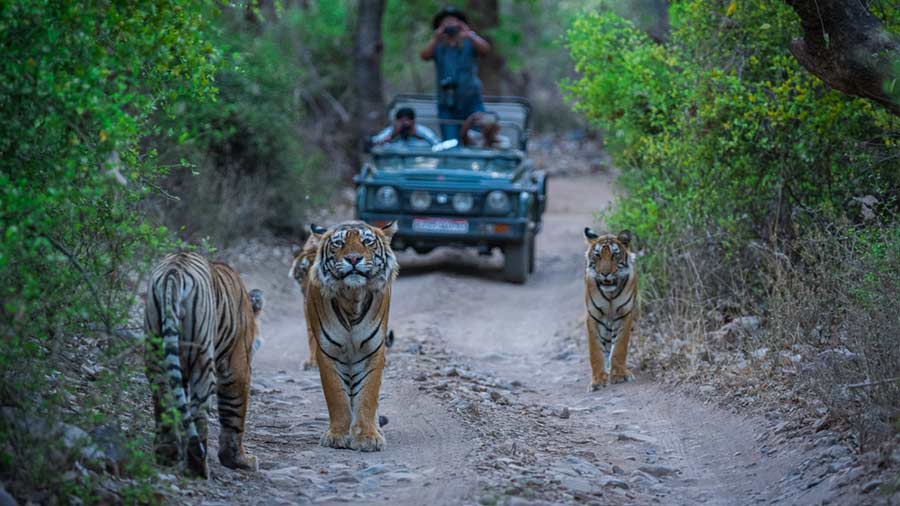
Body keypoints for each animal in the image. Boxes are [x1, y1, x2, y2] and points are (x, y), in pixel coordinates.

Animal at [144, 253, 262, 478]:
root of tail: (174, 272)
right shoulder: (238, 367)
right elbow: (234, 414)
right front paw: (239, 460)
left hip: (156, 353)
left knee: (164, 401)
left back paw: (167, 456)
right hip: (202, 359)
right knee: (198, 412)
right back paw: (198, 467)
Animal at [306, 220, 398, 450]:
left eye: (367, 241)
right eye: (339, 243)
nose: (354, 258)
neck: (352, 298)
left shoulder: (373, 351)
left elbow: (368, 395)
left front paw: (368, 437)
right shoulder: (327, 352)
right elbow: (336, 396)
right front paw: (337, 435)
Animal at [584, 229, 640, 392]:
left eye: (615, 255)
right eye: (597, 256)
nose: (605, 273)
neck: (610, 294)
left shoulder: (624, 315)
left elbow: (620, 346)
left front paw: (619, 375)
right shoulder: (593, 316)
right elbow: (595, 351)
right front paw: (597, 380)